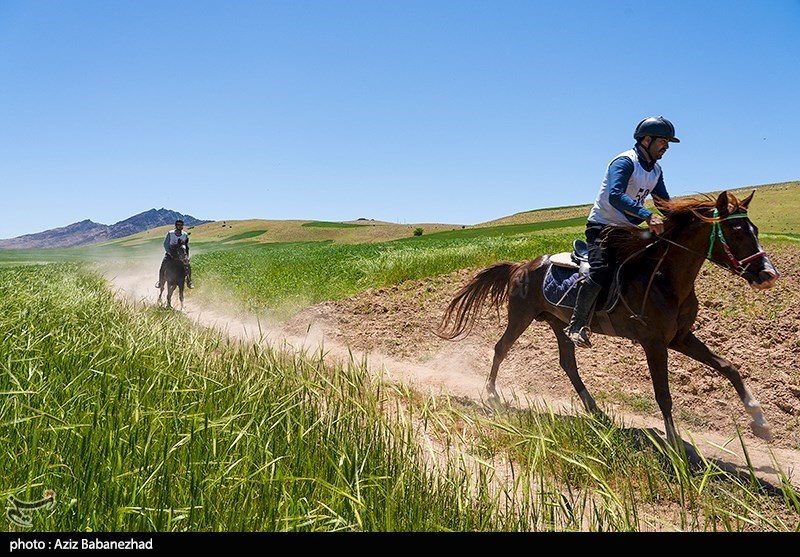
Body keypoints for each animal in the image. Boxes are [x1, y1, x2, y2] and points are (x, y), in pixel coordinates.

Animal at [438, 191, 780, 448]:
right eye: (736, 232)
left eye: (755, 229)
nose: (768, 274)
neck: (664, 278)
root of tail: (521, 266)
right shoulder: (654, 343)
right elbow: (663, 394)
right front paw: (674, 444)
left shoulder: (679, 338)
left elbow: (728, 366)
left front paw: (760, 420)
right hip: (520, 316)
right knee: (501, 349)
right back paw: (492, 395)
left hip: (559, 323)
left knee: (568, 363)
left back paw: (596, 411)